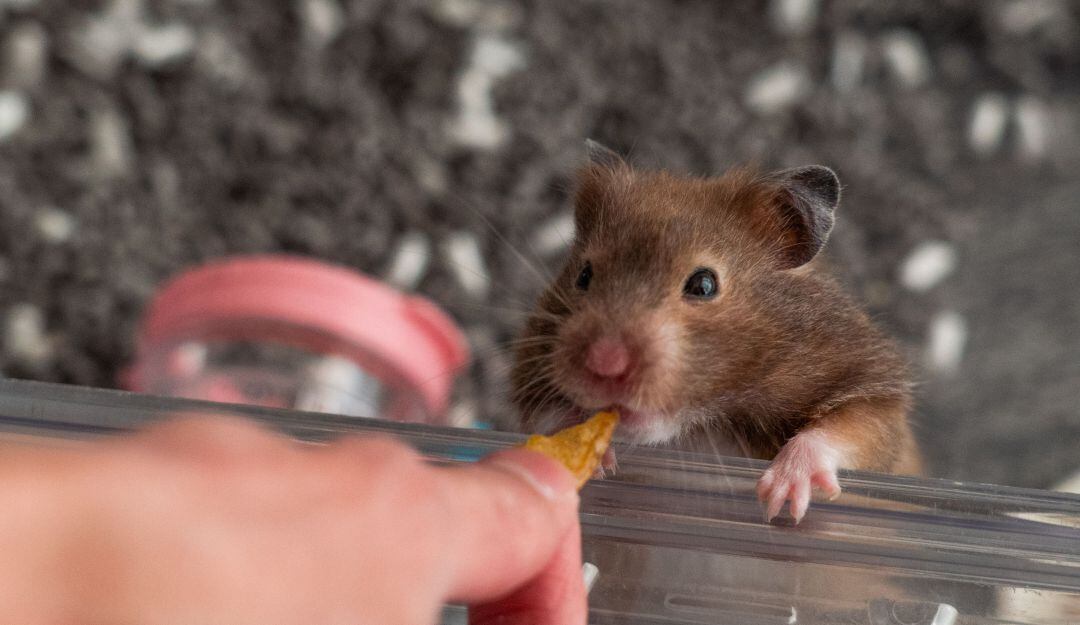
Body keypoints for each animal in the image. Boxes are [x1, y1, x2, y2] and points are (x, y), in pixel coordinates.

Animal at [511, 141, 922, 523]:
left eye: (704, 285)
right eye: (583, 275)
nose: (604, 363)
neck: (701, 425)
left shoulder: (874, 389)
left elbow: (852, 429)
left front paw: (779, 498)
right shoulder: (530, 373)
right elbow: (543, 412)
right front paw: (586, 451)